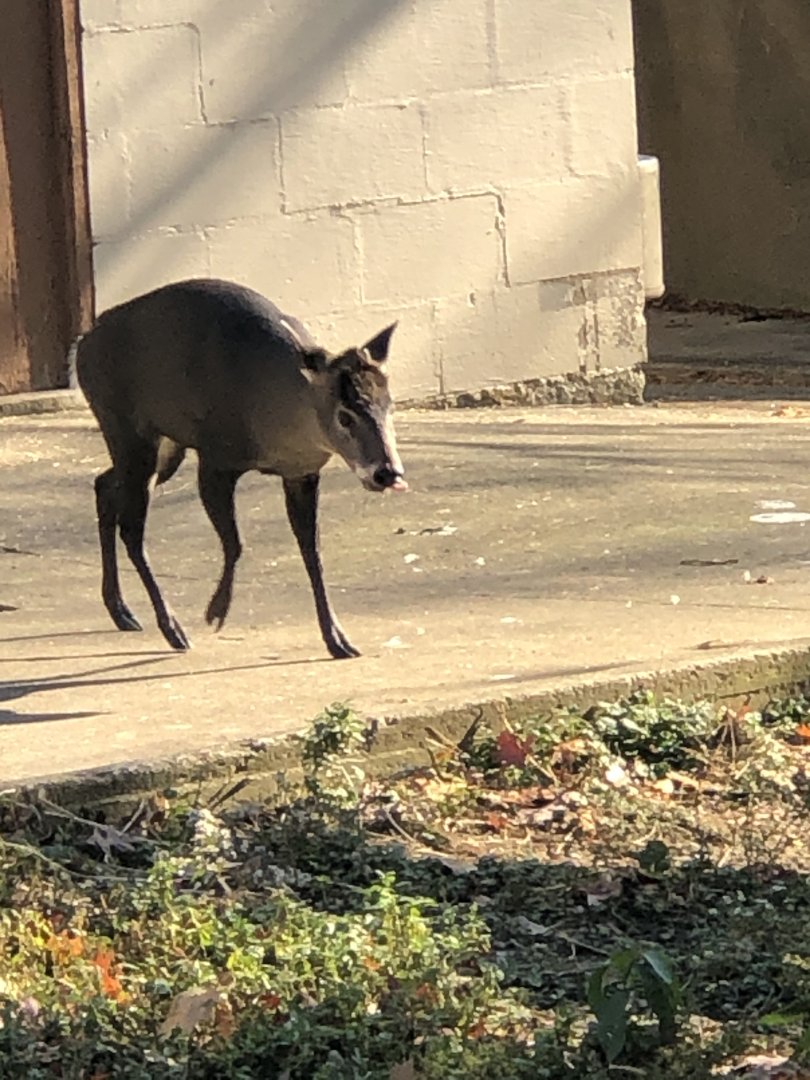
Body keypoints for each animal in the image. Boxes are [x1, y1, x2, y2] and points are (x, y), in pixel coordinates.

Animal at [73, 277, 407, 660]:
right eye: (345, 415)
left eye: (390, 405)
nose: (388, 472)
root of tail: (82, 345)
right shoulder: (215, 458)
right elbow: (235, 542)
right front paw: (215, 612)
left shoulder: (301, 473)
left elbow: (312, 552)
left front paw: (338, 639)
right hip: (124, 428)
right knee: (131, 528)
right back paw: (172, 629)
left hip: (165, 447)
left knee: (103, 485)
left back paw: (122, 611)